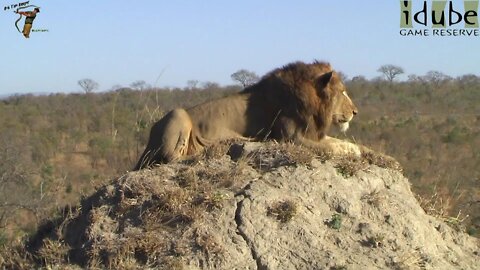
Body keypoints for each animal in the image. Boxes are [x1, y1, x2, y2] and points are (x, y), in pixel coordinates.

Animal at [133, 61, 358, 171]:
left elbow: (343, 144)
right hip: (178, 113)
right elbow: (331, 148)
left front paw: (357, 150)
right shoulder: (290, 138)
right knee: (172, 158)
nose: (355, 111)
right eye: (343, 91)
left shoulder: (310, 133)